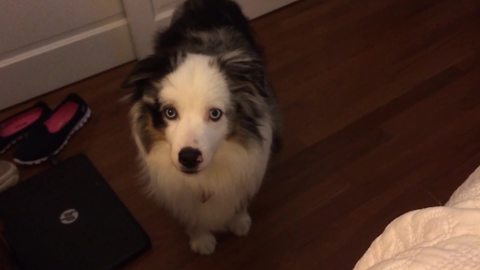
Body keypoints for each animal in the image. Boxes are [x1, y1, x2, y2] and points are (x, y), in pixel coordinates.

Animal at [124, 0, 282, 254]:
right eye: (170, 112)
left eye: (215, 113)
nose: (189, 157)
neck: (206, 175)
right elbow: (192, 216)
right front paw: (201, 240)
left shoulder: (246, 167)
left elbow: (238, 196)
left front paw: (239, 221)